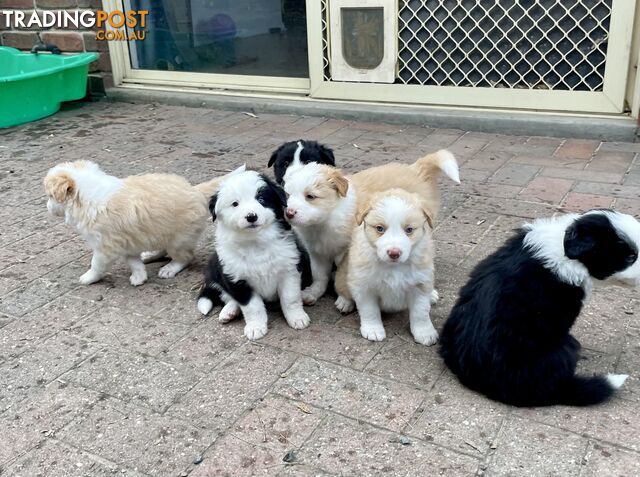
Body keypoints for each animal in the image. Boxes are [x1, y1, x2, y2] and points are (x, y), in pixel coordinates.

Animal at [43, 160, 241, 286]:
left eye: (50, 196)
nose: (47, 207)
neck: (87, 196)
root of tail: (196, 191)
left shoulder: (105, 245)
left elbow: (96, 264)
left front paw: (88, 278)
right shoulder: (127, 240)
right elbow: (133, 261)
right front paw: (139, 277)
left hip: (179, 239)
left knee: (185, 257)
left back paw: (170, 268)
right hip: (160, 232)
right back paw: (150, 255)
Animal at [198, 167, 312, 338]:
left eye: (261, 199)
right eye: (235, 204)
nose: (251, 216)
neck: (255, 242)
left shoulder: (289, 269)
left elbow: (290, 297)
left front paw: (297, 318)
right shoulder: (237, 279)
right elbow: (252, 307)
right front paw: (255, 328)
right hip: (214, 271)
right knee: (227, 296)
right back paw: (229, 312)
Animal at [336, 190, 440, 346]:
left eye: (409, 230)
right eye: (380, 228)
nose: (394, 253)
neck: (394, 267)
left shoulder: (420, 284)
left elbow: (420, 312)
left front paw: (425, 333)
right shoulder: (364, 286)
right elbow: (370, 311)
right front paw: (373, 330)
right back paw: (344, 302)